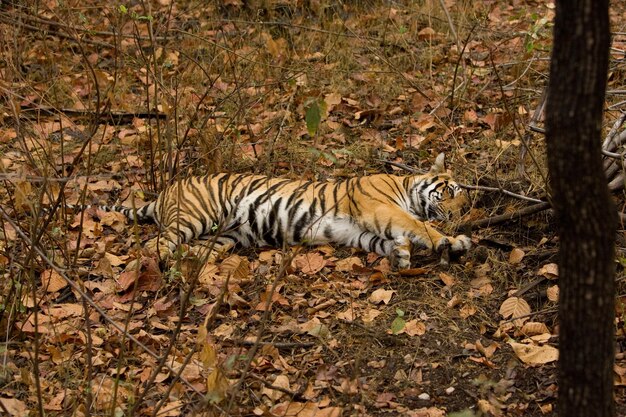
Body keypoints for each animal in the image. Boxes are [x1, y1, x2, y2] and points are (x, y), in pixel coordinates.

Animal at [95, 153, 470, 270]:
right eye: (451, 192)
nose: (459, 213)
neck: (406, 186)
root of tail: (165, 191)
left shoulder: (355, 230)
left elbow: (383, 240)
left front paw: (400, 254)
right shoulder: (379, 208)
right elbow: (418, 225)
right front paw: (450, 242)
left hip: (225, 237)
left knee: (192, 251)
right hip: (195, 216)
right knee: (153, 245)